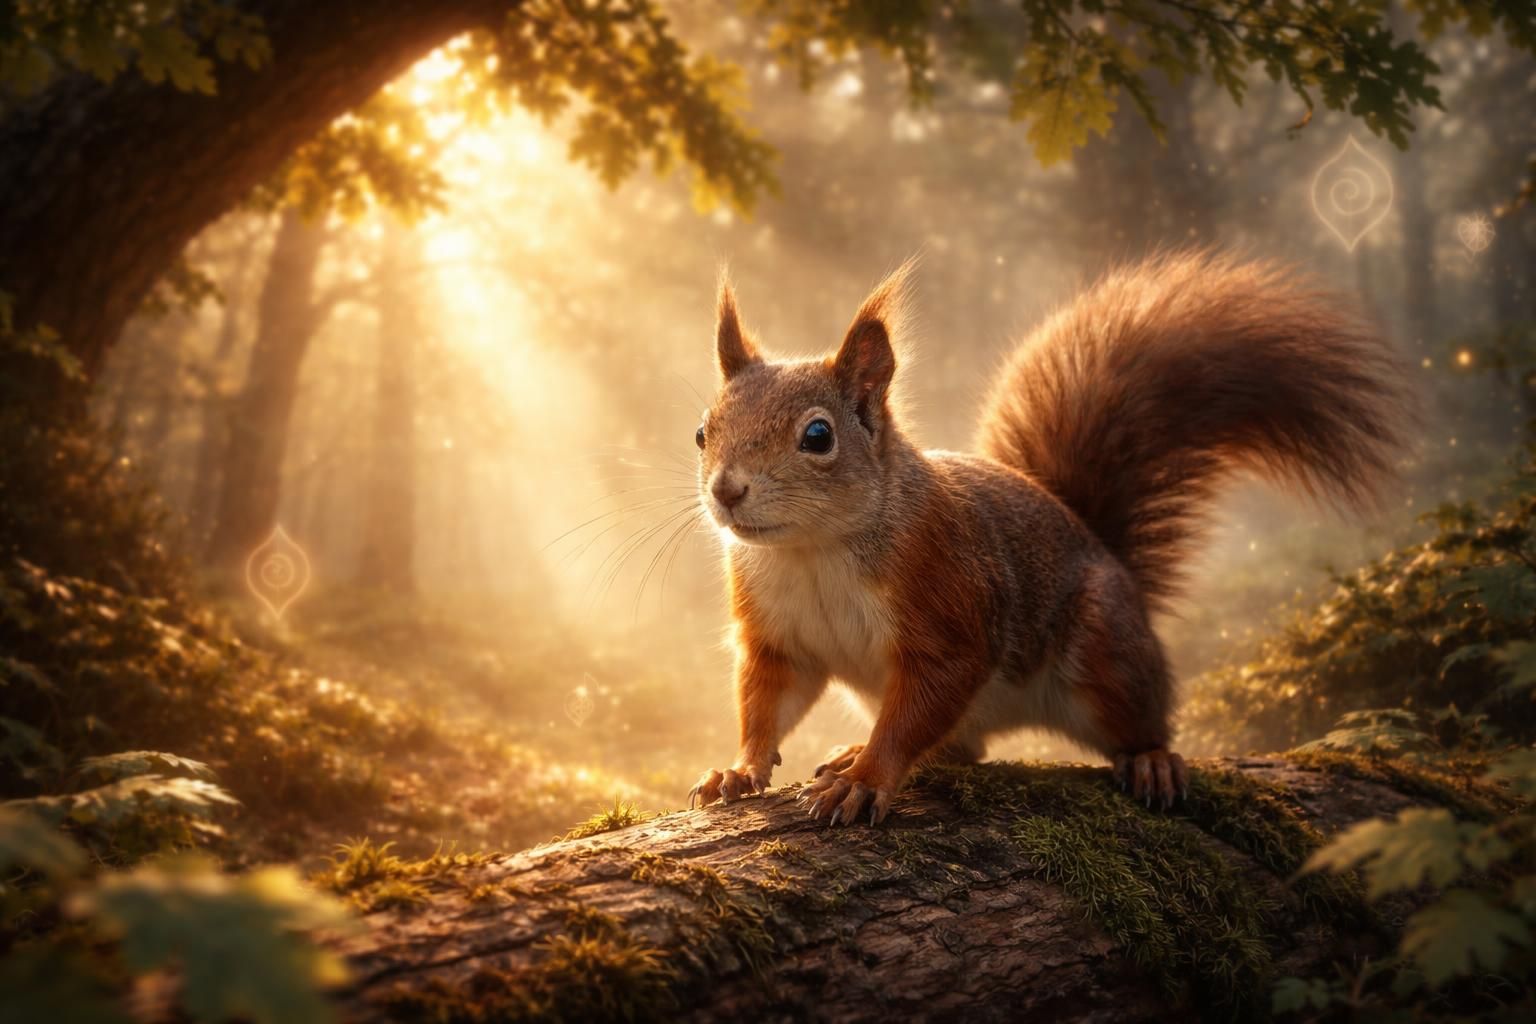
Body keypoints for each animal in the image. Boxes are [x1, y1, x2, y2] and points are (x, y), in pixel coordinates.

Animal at [687, 250, 1410, 824]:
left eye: (818, 435)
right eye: (702, 431)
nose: (726, 489)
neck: (812, 550)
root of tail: (1103, 549)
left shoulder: (948, 600)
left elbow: (922, 702)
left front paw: (867, 779)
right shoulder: (777, 636)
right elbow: (768, 702)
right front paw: (740, 770)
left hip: (1105, 651)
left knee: (1134, 715)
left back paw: (1151, 759)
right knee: (961, 747)